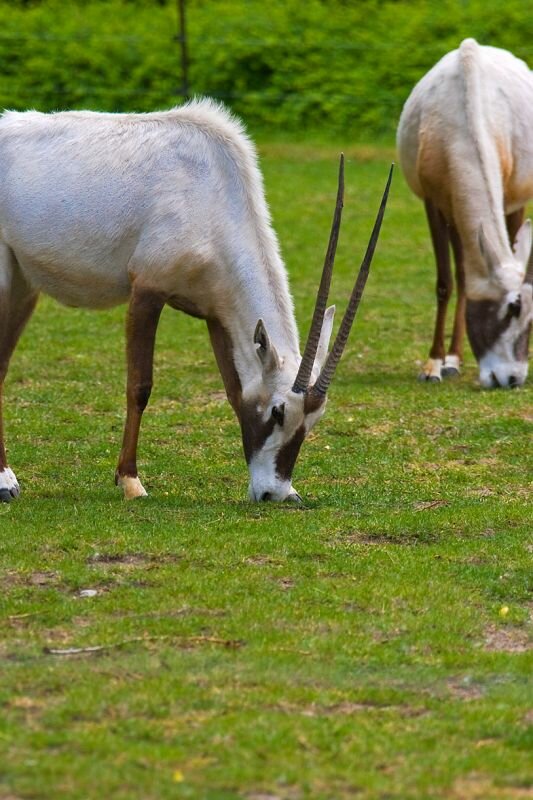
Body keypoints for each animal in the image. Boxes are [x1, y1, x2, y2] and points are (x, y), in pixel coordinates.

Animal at [0, 98, 390, 500]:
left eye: (314, 419)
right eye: (278, 411)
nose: (275, 494)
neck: (212, 190)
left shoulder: (218, 314)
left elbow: (234, 391)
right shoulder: (147, 290)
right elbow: (139, 386)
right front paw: (131, 481)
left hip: (25, 286)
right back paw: (5, 481)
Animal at [394, 39, 532, 390]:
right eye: (511, 308)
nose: (512, 378)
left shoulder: (507, 196)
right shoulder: (434, 202)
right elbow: (445, 281)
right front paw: (433, 364)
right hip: (454, 212)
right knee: (460, 273)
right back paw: (452, 360)